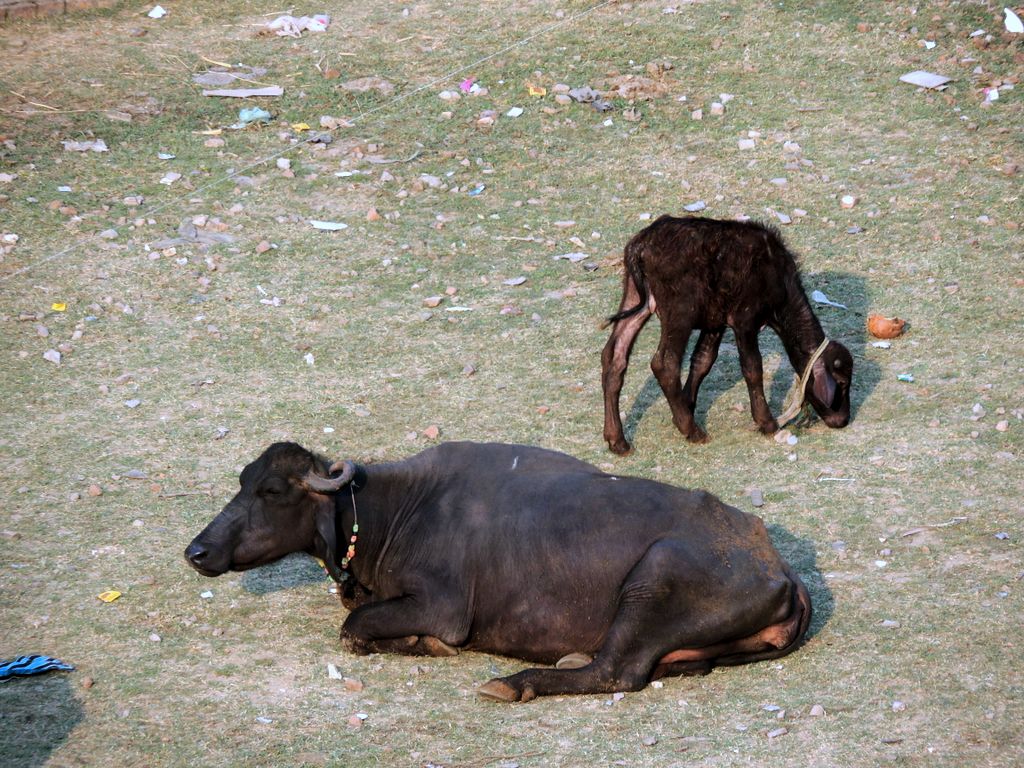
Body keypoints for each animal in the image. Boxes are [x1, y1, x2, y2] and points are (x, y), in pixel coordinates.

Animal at [185, 441, 812, 702]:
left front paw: (427, 645)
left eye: (271, 490)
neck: (397, 509)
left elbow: (355, 627)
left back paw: (513, 683)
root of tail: (778, 565)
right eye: (243, 480)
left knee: (617, 672)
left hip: (652, 578)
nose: (197, 551)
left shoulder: (440, 606)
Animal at [601, 216, 853, 454]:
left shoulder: (716, 323)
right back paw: (692, 430)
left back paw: (617, 441)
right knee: (665, 364)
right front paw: (766, 422)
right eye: (841, 383)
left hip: (635, 298)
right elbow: (752, 368)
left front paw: (685, 406)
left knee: (614, 357)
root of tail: (642, 245)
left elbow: (703, 361)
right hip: (680, 312)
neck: (779, 282)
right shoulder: (745, 321)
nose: (842, 420)